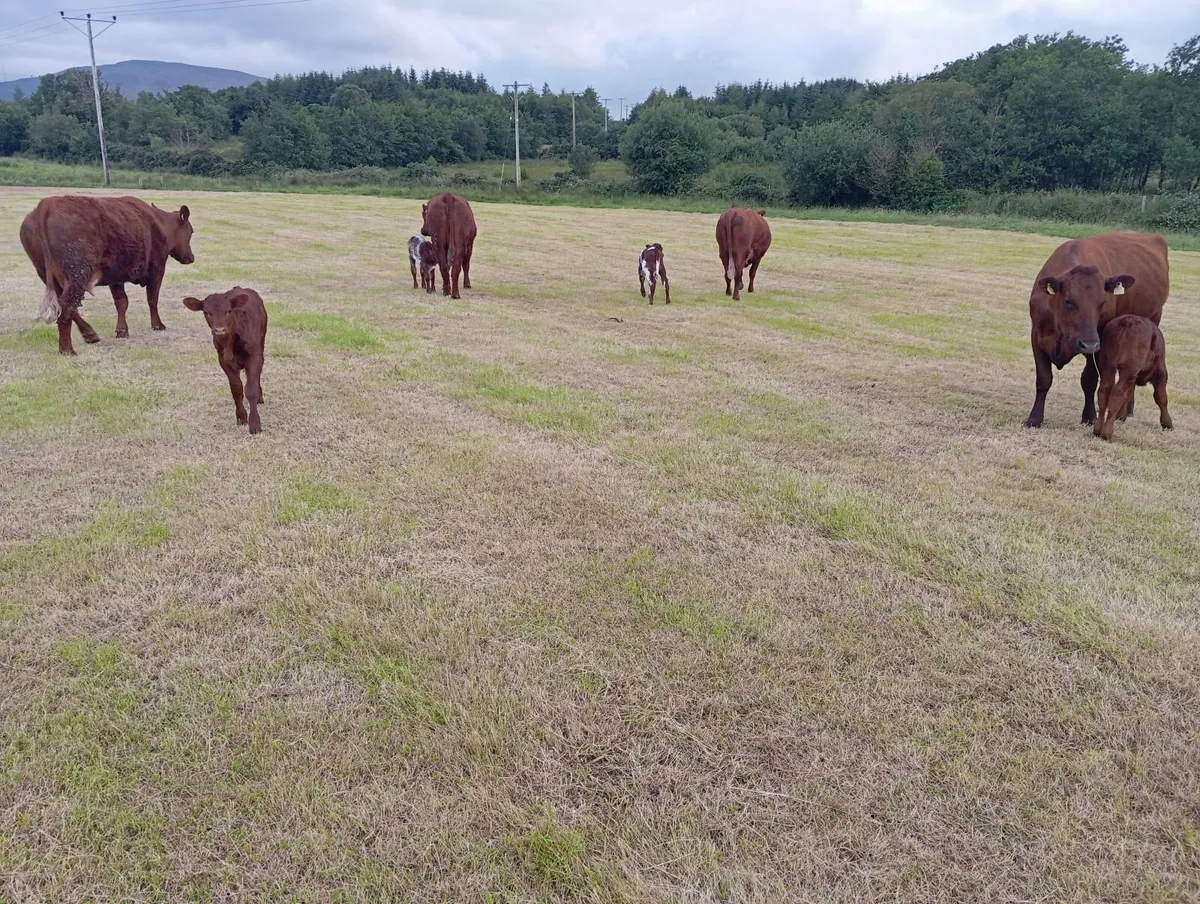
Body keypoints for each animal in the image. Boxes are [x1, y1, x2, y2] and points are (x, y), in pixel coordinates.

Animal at [20, 195, 195, 356]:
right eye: (191, 231)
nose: (191, 257)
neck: (159, 223)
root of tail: (47, 204)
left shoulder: (116, 277)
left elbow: (122, 302)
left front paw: (122, 331)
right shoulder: (157, 269)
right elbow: (152, 299)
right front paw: (158, 325)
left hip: (47, 274)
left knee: (66, 306)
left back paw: (90, 335)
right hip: (78, 274)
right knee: (67, 307)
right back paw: (67, 350)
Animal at [182, 287, 268, 435]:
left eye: (228, 310)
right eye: (206, 312)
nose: (220, 330)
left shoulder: (255, 356)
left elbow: (251, 389)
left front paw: (255, 424)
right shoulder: (222, 360)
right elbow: (236, 388)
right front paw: (241, 418)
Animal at [1024, 231, 1169, 428]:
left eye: (1102, 303)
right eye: (1068, 301)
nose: (1088, 344)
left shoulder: (1100, 343)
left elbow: (1089, 380)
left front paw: (1089, 416)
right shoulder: (1037, 337)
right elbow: (1043, 380)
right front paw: (1034, 418)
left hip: (1153, 320)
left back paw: (1128, 410)